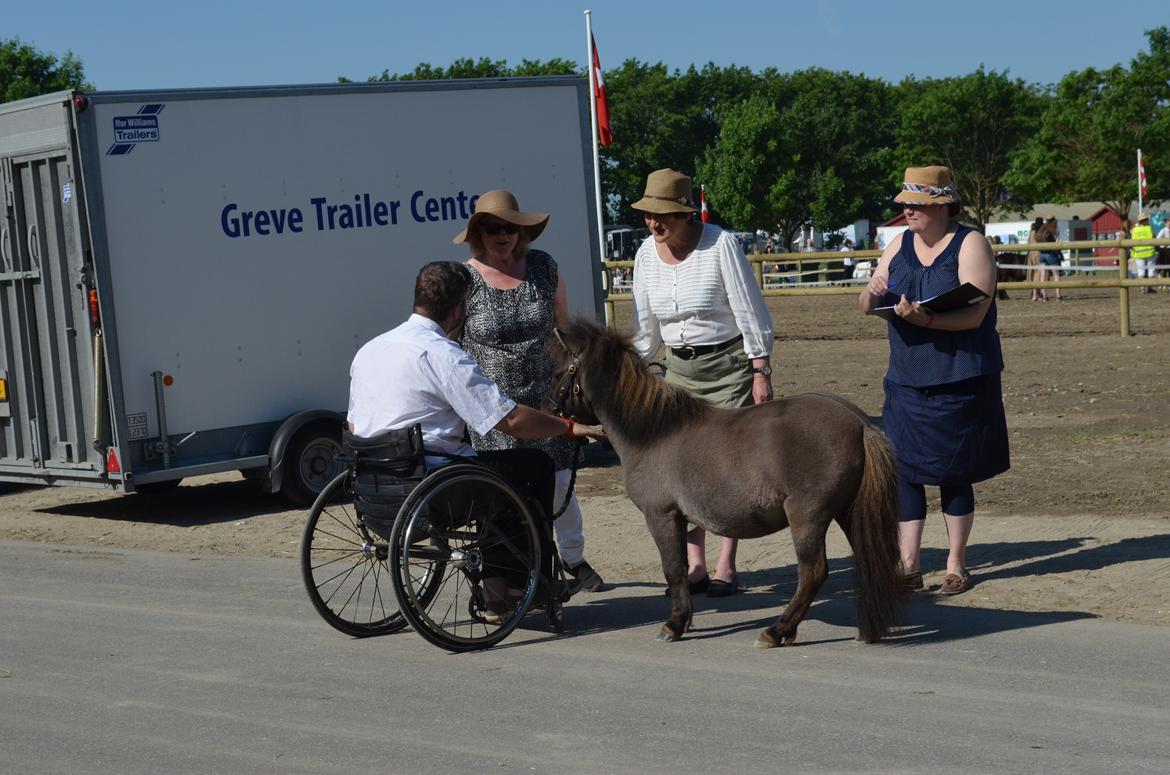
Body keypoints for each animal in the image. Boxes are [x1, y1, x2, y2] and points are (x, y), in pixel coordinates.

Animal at [549, 318, 903, 650]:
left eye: (558, 372)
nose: (550, 411)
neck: (653, 432)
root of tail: (859, 423)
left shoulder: (660, 515)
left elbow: (673, 568)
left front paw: (674, 625)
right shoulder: (678, 518)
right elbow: (681, 567)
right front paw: (685, 619)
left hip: (807, 517)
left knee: (813, 573)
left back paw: (777, 630)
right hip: (848, 512)